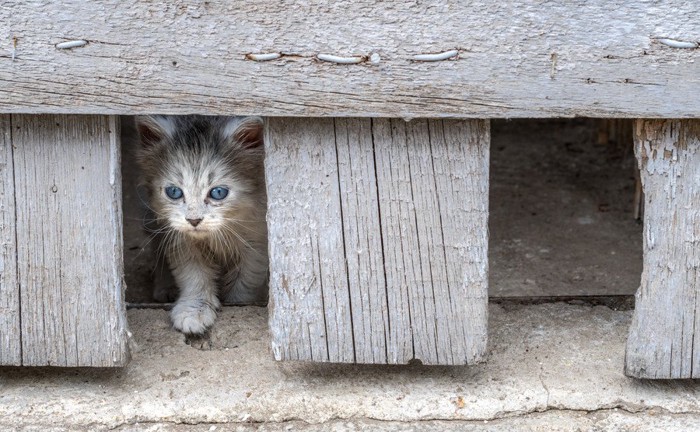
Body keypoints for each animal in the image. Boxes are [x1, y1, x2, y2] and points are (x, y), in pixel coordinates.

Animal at [135, 116, 270, 336]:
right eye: (174, 192)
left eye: (218, 193)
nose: (194, 220)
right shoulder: (180, 239)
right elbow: (194, 277)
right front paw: (194, 310)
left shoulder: (256, 244)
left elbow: (244, 285)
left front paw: (238, 307)